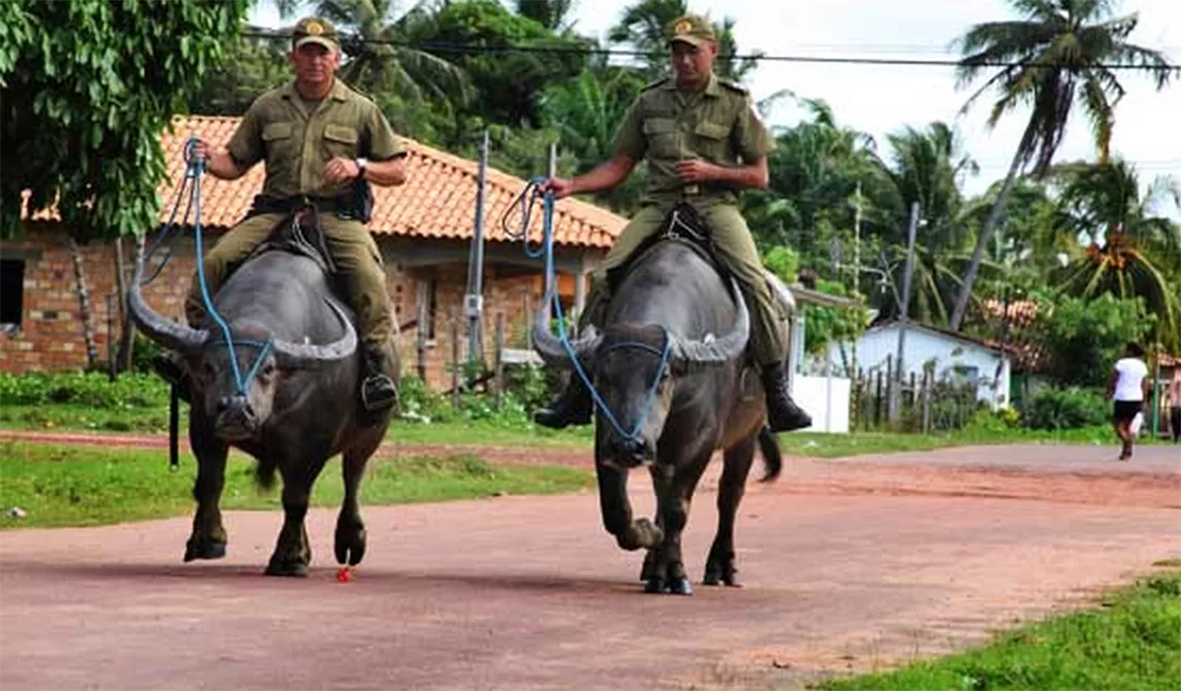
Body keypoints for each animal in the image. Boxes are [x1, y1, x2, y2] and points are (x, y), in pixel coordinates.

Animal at [128, 210, 392, 576]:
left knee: (353, 475)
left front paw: (289, 558)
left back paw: (350, 539)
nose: (237, 410)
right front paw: (207, 541)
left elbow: (296, 498)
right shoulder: (203, 422)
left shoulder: (313, 441)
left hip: (372, 432)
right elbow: (210, 482)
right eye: (208, 366)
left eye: (268, 369)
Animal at [533, 207, 784, 590]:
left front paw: (676, 574)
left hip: (748, 430)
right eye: (602, 377)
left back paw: (721, 567)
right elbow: (615, 510)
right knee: (661, 489)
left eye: (663, 377)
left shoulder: (701, 440)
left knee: (729, 495)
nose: (630, 445)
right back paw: (654, 564)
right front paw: (648, 535)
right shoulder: (608, 433)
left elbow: (678, 507)